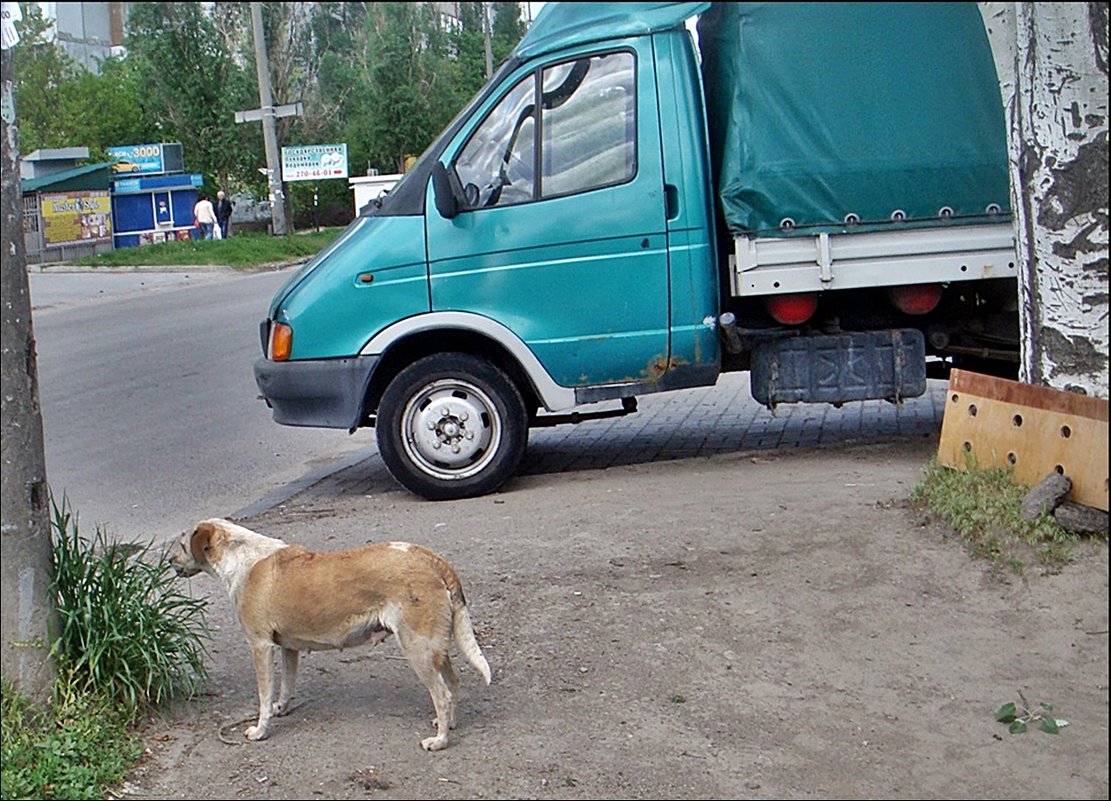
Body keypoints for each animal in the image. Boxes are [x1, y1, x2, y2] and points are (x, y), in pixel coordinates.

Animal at [167, 517, 491, 751]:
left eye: (181, 544)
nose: (168, 562)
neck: (242, 558)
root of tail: (433, 560)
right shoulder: (288, 648)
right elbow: (286, 686)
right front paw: (282, 708)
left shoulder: (260, 646)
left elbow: (263, 696)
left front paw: (260, 730)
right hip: (436, 646)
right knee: (454, 683)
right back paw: (448, 725)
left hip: (418, 649)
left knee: (443, 694)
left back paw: (440, 741)